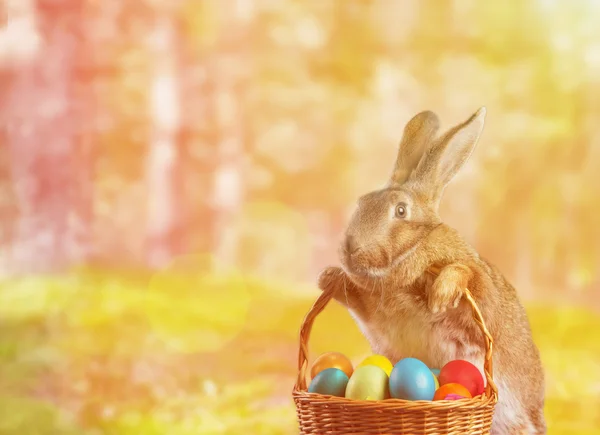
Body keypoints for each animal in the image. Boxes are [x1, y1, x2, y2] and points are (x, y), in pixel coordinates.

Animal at [322, 107, 548, 434]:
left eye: (400, 210)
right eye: (362, 202)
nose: (351, 248)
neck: (411, 252)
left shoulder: (480, 302)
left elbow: (472, 280)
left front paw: (441, 293)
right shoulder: (372, 316)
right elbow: (356, 302)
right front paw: (327, 277)